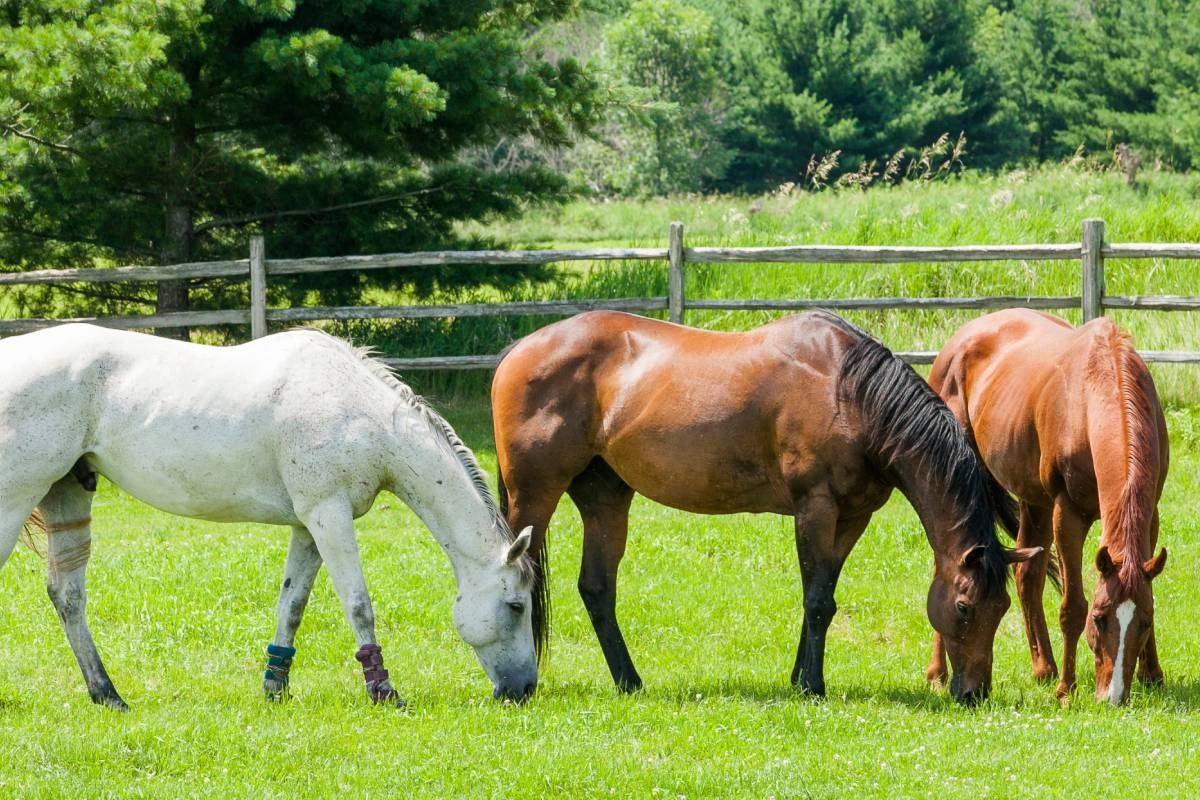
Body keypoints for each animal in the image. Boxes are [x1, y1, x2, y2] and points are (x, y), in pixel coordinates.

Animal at [0, 323, 542, 709]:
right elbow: (358, 604)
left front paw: (275, 688)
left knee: (68, 597)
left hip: (68, 493)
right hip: (16, 498)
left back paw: (107, 694)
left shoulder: (309, 525)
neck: (361, 412)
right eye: (516, 606)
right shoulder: (329, 516)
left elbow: (292, 605)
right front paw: (383, 692)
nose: (524, 690)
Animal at [491, 310, 1040, 704]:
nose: (974, 694)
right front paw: (813, 686)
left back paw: (629, 682)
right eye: (965, 606)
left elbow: (822, 597)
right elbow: (817, 601)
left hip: (605, 498)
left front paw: (799, 677)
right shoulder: (815, 508)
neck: (851, 395)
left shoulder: (852, 518)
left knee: (597, 589)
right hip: (534, 496)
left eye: (1002, 607)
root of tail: (518, 352)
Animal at [923, 309, 1168, 705]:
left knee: (1028, 576)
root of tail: (960, 339)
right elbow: (1072, 607)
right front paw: (1066, 690)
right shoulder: (1067, 514)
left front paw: (1153, 674)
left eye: (1143, 621)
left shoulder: (1150, 517)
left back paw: (1044, 667)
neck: (1095, 392)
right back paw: (938, 674)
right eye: (1100, 618)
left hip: (1033, 502)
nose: (1112, 696)